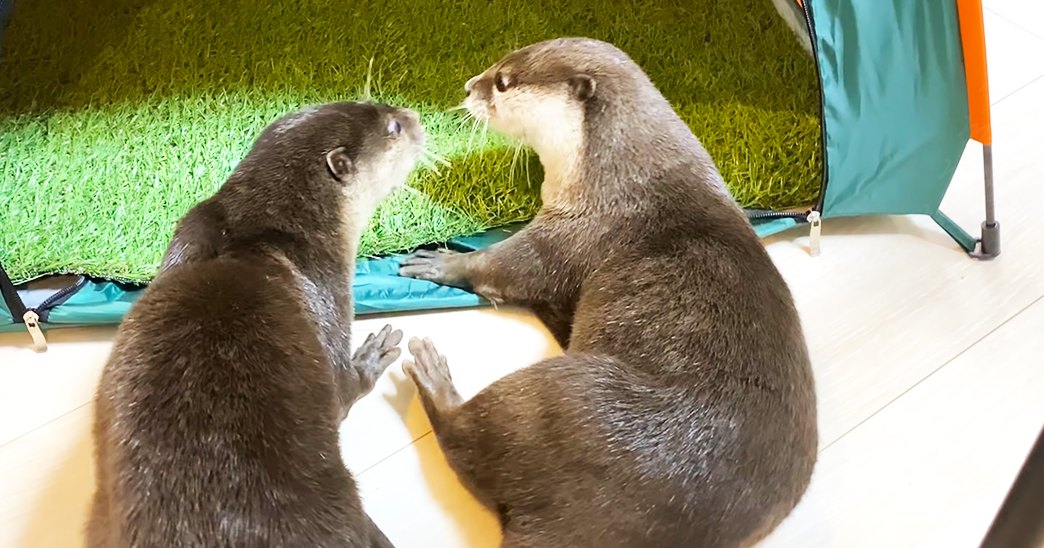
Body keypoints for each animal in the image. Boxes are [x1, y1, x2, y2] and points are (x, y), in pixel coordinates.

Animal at [87, 101, 425, 547]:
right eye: (394, 127)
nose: (414, 115)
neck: (258, 235)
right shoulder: (330, 292)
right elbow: (343, 392)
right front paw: (371, 355)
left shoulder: (193, 226)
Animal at [398, 38, 818, 547]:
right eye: (499, 65)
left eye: (503, 81)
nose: (467, 86)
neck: (618, 176)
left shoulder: (580, 227)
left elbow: (510, 266)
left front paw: (440, 261)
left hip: (563, 396)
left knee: (464, 437)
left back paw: (432, 374)